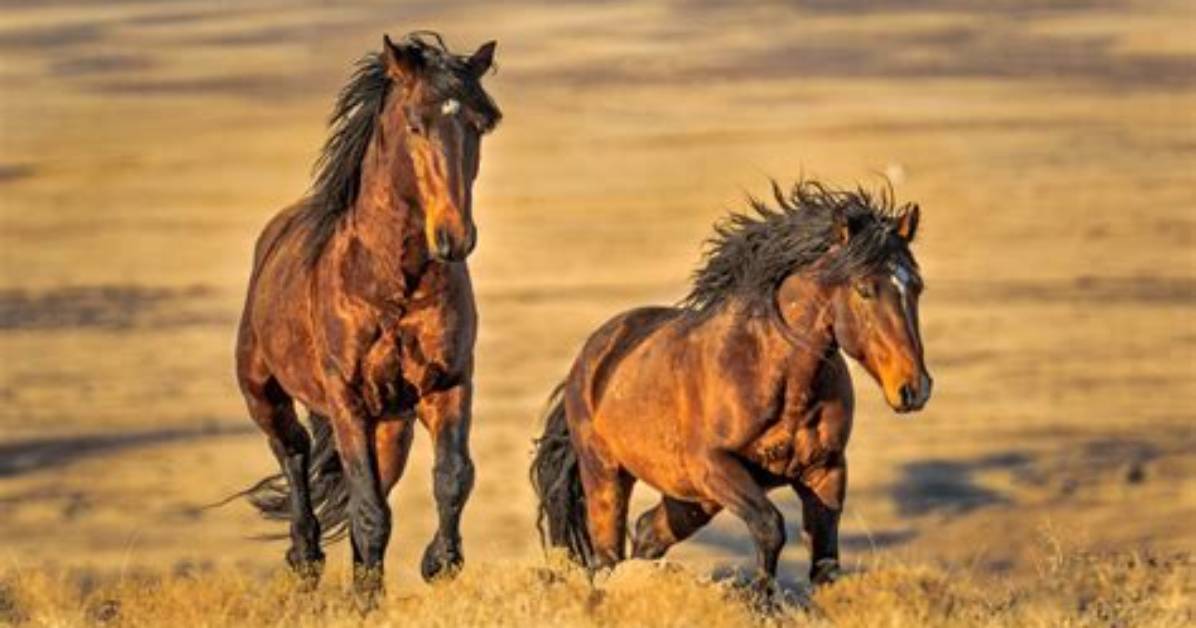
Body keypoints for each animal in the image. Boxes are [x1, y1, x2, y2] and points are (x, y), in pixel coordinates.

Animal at [232, 32, 501, 604]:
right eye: (416, 124)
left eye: (480, 124)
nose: (454, 237)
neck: (392, 283)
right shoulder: (348, 400)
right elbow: (369, 510)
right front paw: (365, 594)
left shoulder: (447, 384)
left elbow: (452, 477)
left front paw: (438, 562)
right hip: (266, 396)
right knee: (294, 455)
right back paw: (306, 559)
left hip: (390, 427)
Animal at [530, 180, 932, 591]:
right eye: (865, 289)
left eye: (916, 286)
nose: (914, 388)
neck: (781, 380)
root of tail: (589, 357)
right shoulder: (715, 465)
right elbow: (770, 527)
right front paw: (762, 596)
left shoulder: (826, 471)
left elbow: (825, 564)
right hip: (608, 477)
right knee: (608, 556)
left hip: (693, 499)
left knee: (647, 532)